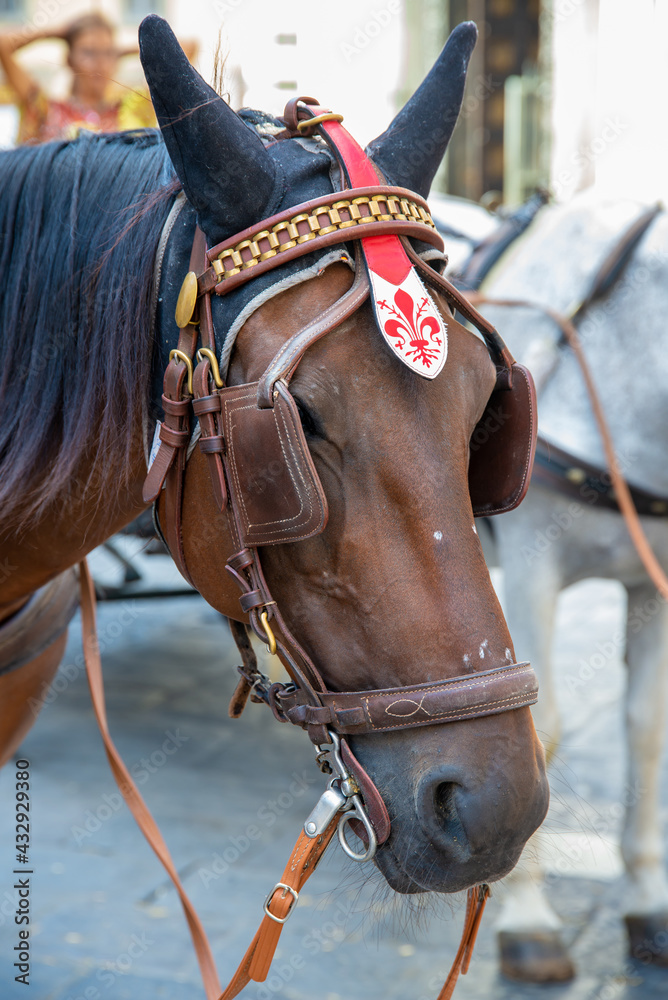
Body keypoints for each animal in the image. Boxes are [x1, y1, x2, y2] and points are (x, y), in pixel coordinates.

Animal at [453, 192, 668, 982]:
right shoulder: (530, 569)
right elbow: (538, 731)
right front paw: (528, 921)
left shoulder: (653, 585)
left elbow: (645, 731)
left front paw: (646, 904)